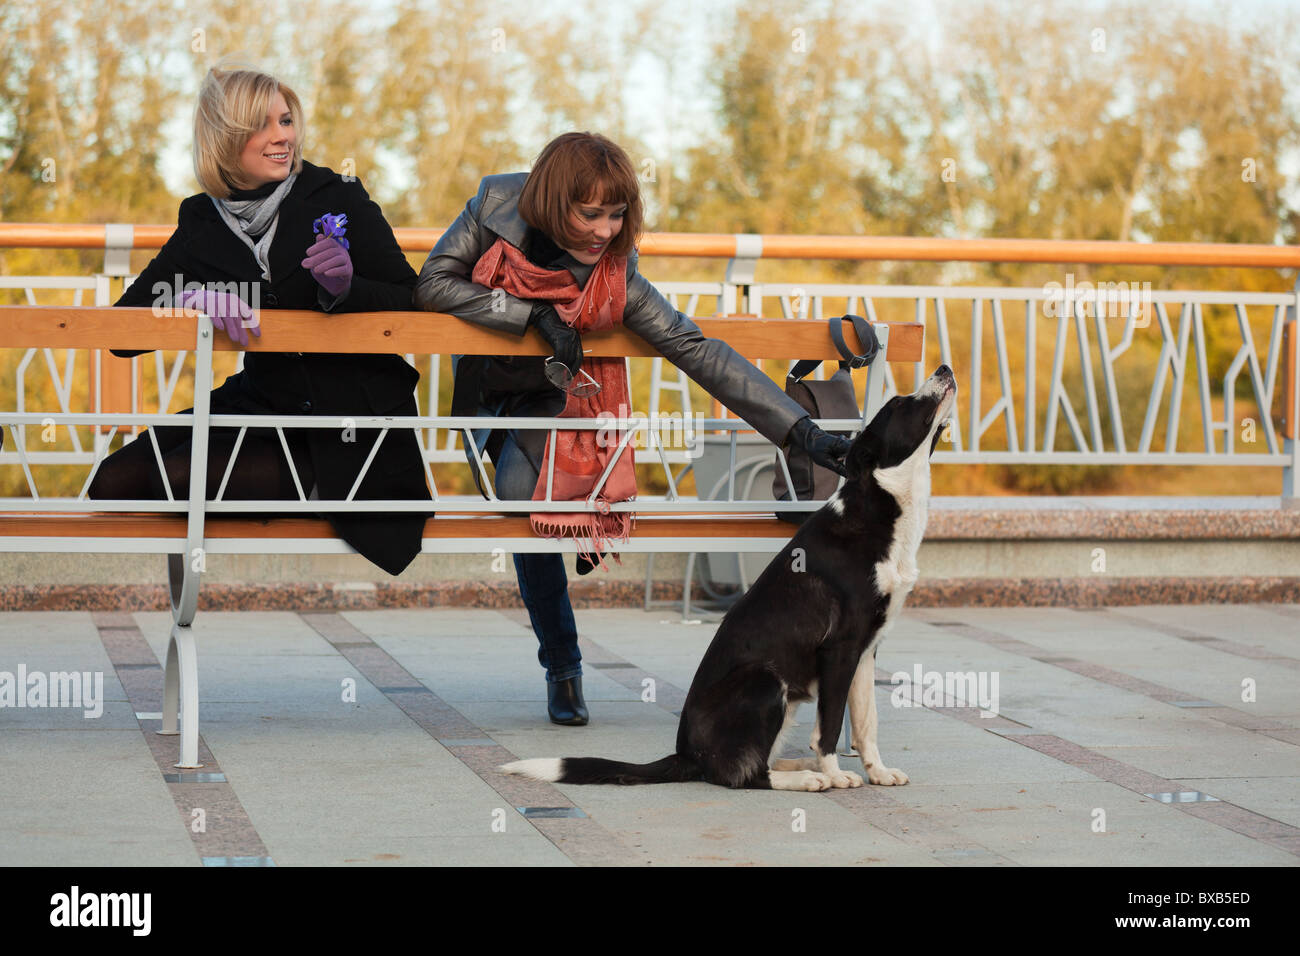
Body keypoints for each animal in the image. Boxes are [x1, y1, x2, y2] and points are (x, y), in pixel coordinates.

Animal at [501, 366, 961, 790]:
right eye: (900, 403)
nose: (943, 369)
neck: (878, 506)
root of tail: (687, 754)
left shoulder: (866, 650)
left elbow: (867, 721)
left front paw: (877, 772)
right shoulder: (839, 650)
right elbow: (830, 727)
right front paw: (836, 773)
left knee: (757, 760)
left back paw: (800, 765)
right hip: (766, 680)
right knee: (744, 775)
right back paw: (807, 777)